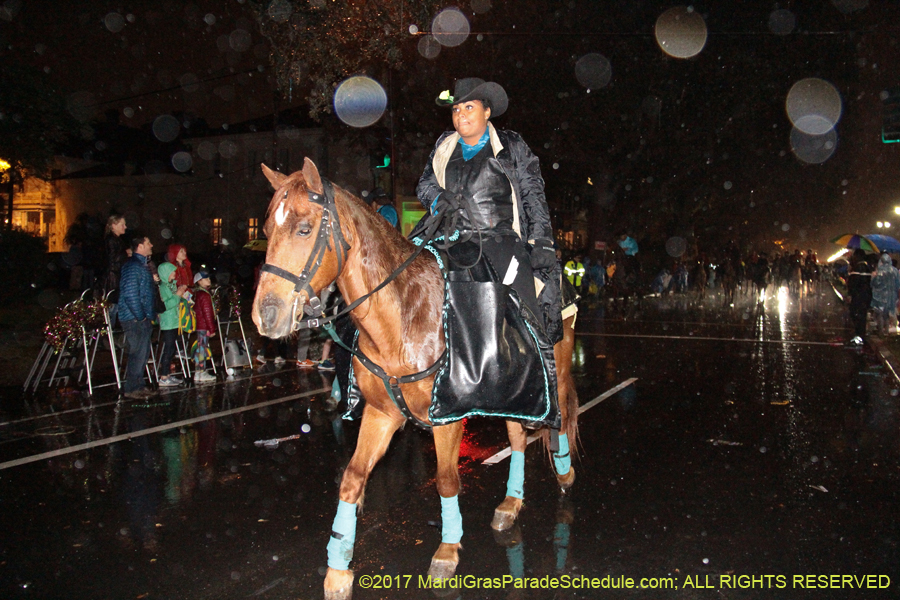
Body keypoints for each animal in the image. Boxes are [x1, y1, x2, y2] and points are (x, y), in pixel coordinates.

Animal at [251, 159, 576, 600]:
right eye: (267, 230)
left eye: (304, 228)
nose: (265, 316)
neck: (404, 317)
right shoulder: (381, 414)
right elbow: (351, 479)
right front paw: (338, 568)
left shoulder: (448, 418)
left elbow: (446, 481)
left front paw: (447, 550)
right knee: (517, 436)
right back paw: (511, 504)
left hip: (551, 373)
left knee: (555, 419)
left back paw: (562, 470)